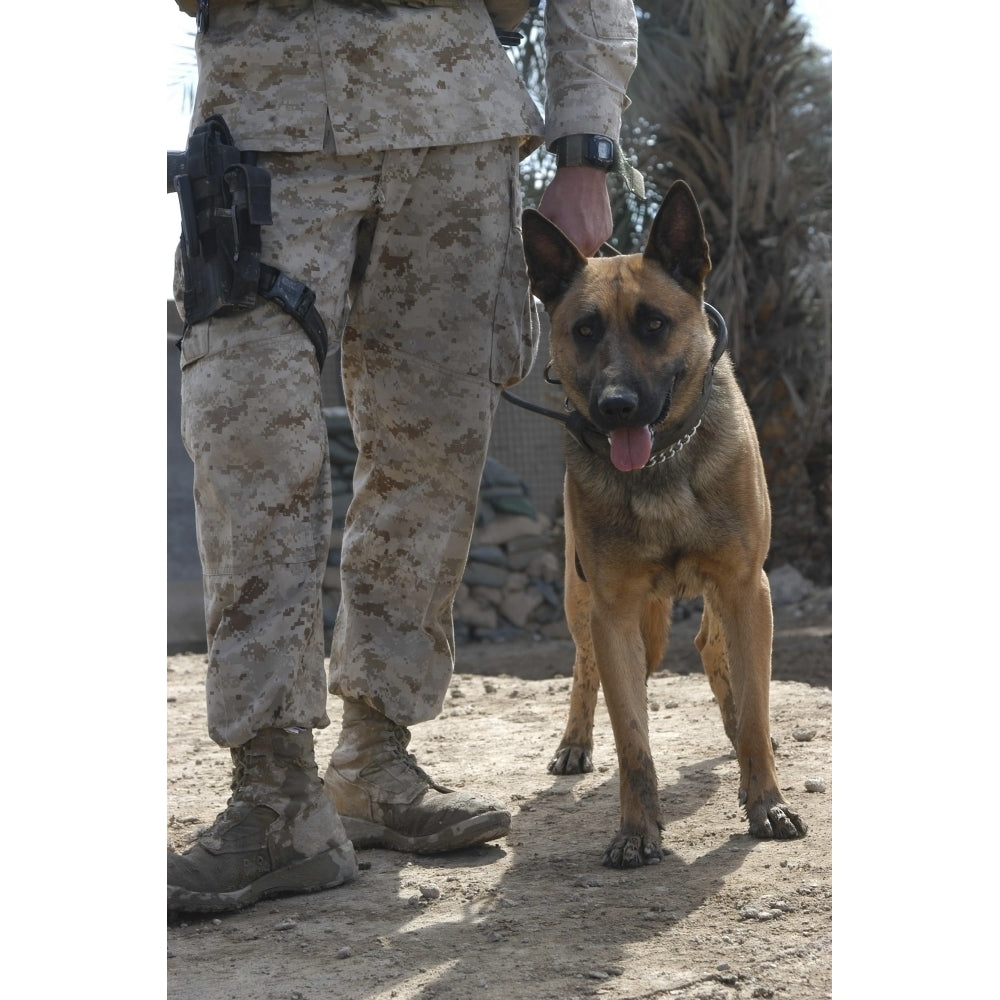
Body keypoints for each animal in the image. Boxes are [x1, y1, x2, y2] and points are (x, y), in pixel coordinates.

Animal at [520, 180, 808, 868]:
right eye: (584, 330)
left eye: (654, 324)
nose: (616, 406)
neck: (662, 469)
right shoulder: (616, 613)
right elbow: (633, 742)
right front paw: (635, 831)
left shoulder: (746, 589)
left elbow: (756, 708)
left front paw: (766, 802)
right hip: (588, 605)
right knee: (586, 667)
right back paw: (575, 743)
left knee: (715, 653)